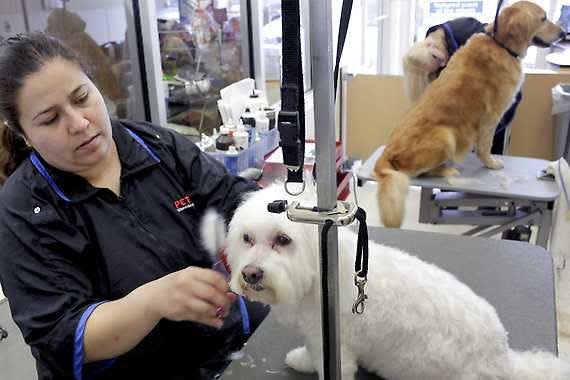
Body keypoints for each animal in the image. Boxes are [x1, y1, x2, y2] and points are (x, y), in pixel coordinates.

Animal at [202, 186, 568, 380]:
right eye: (247, 239)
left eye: (283, 239)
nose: (251, 273)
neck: (323, 275)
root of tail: (502, 359)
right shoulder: (319, 334)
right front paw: (301, 360)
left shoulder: (336, 344)